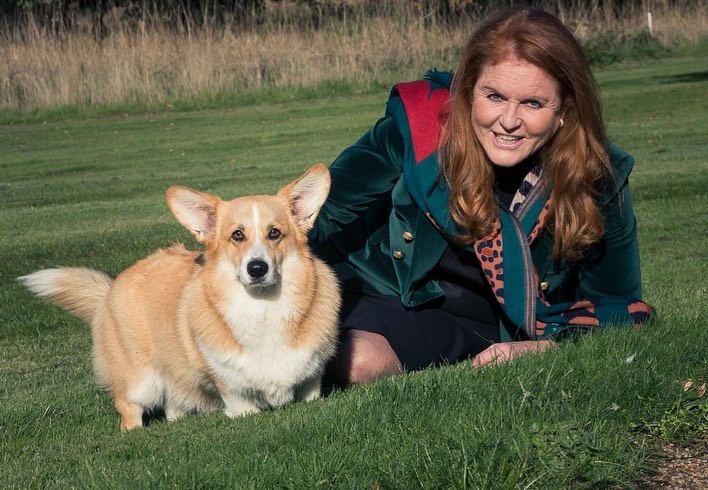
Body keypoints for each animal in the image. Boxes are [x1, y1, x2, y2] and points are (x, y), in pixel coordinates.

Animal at [20, 164, 342, 428]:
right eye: (237, 235)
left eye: (274, 233)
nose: (257, 268)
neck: (262, 309)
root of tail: (111, 287)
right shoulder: (232, 389)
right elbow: (240, 402)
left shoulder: (310, 382)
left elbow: (309, 391)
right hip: (139, 382)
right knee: (129, 412)